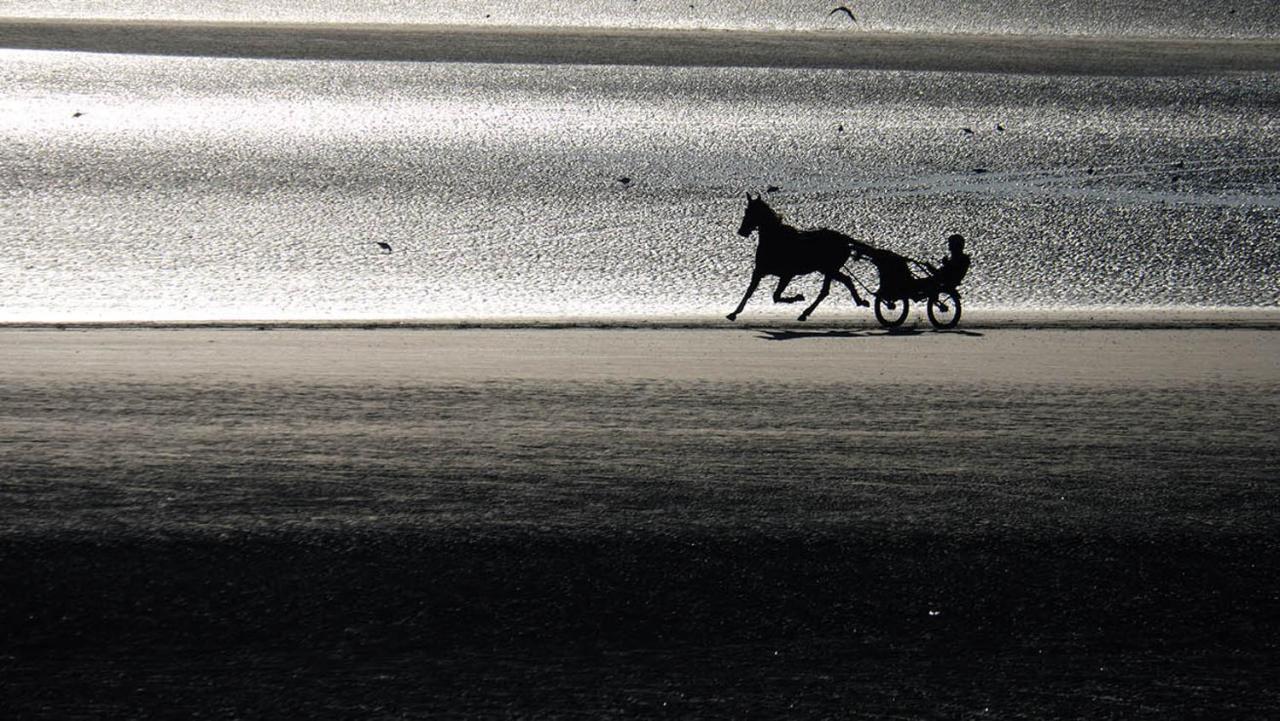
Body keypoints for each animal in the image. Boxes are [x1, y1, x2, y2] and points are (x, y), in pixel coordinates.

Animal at [732, 194, 870, 324]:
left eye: (753, 212)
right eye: (746, 210)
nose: (741, 231)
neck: (775, 239)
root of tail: (844, 239)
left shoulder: (787, 274)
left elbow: (776, 296)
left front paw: (798, 297)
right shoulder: (759, 271)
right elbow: (749, 291)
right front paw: (734, 313)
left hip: (830, 269)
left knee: (825, 291)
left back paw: (805, 313)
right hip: (827, 269)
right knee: (847, 280)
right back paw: (860, 301)